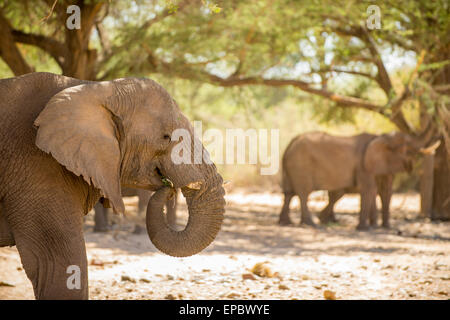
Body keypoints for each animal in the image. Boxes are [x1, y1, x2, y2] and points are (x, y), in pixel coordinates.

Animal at [278, 130, 436, 230]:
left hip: (292, 166)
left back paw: (287, 223)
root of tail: (290, 143)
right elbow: (370, 189)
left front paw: (378, 227)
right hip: (301, 165)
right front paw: (365, 229)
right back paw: (311, 224)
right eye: (408, 147)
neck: (379, 137)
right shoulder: (363, 166)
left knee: (289, 193)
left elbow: (378, 190)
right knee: (303, 193)